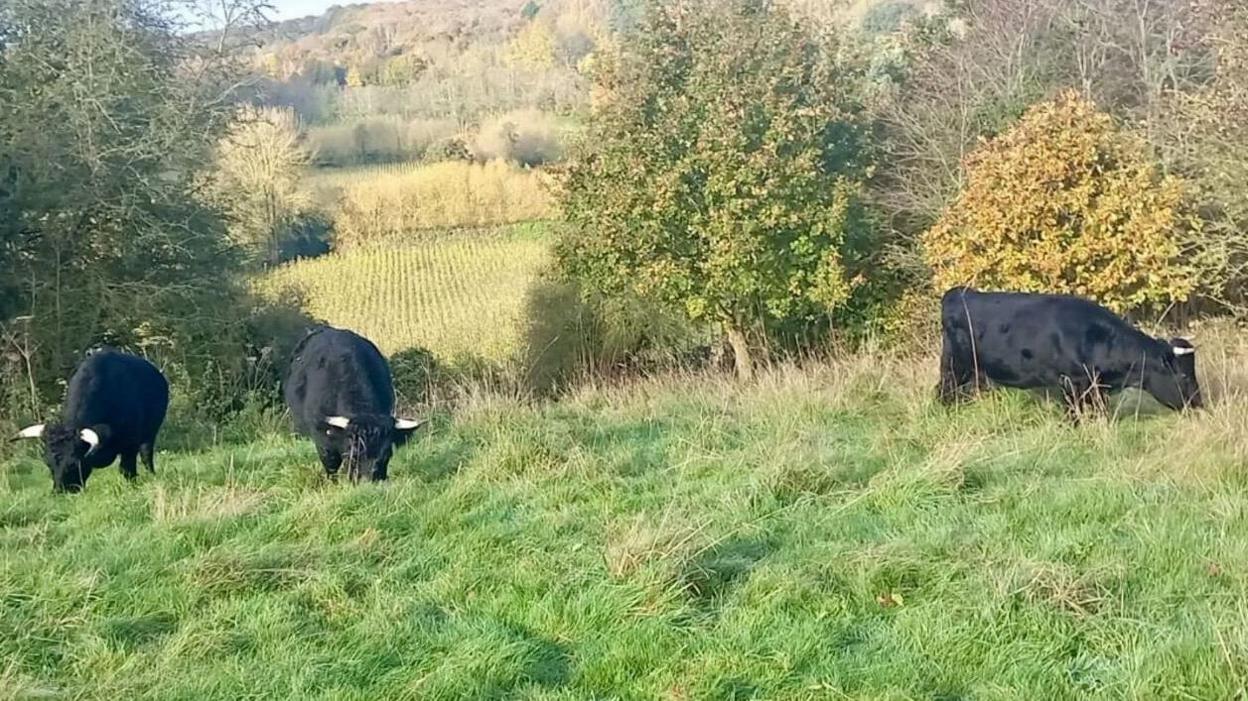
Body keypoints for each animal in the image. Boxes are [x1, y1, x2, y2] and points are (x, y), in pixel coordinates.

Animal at [15, 349, 170, 491]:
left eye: (73, 464)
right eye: (48, 463)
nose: (60, 491)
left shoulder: (130, 443)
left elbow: (127, 469)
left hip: (150, 432)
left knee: (146, 455)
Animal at [938, 285, 1203, 414]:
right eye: (1183, 375)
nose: (1199, 403)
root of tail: (960, 292)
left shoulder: (1095, 388)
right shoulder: (1072, 382)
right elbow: (1074, 414)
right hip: (954, 364)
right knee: (944, 390)